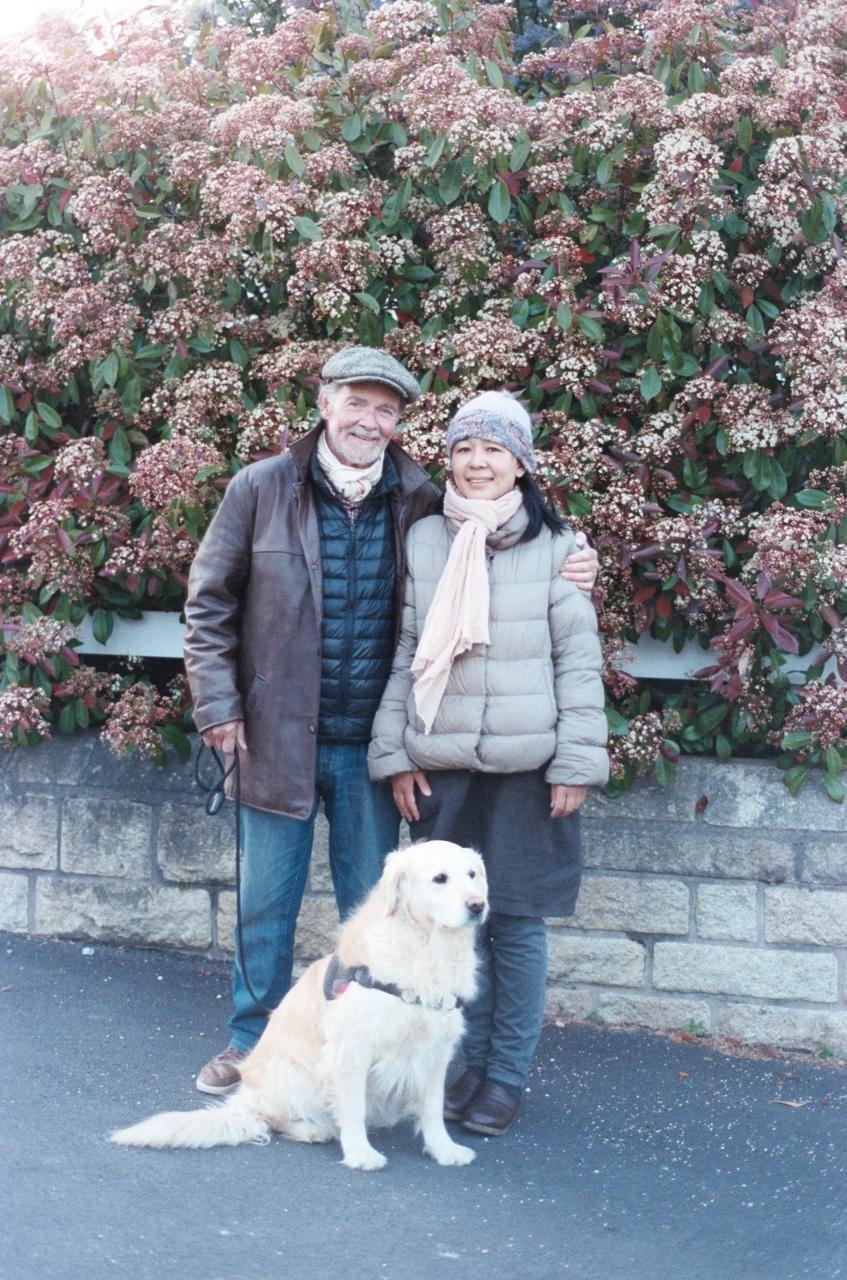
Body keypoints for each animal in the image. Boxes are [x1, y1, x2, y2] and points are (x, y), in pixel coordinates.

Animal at [109, 839, 488, 1172]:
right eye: (440, 878)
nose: (478, 905)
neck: (428, 951)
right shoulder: (351, 1048)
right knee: (273, 1119)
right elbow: (352, 1107)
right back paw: (312, 1129)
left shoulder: (436, 1050)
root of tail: (246, 1099)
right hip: (295, 1075)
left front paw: (444, 1149)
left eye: (472, 874)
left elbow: (432, 1108)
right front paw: (360, 1152)